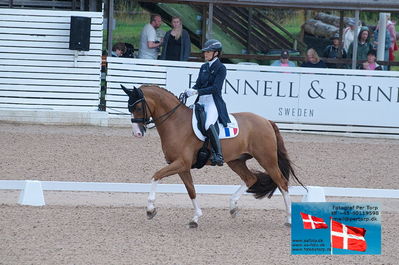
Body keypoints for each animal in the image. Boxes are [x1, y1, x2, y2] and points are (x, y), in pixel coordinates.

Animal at [120, 84, 304, 227]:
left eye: (137, 108)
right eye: (129, 108)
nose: (137, 133)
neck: (176, 122)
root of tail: (266, 121)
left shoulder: (181, 163)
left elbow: (156, 176)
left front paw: (150, 209)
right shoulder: (182, 167)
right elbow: (191, 190)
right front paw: (195, 218)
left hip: (266, 159)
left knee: (282, 183)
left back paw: (288, 219)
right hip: (236, 161)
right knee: (251, 178)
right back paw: (233, 207)